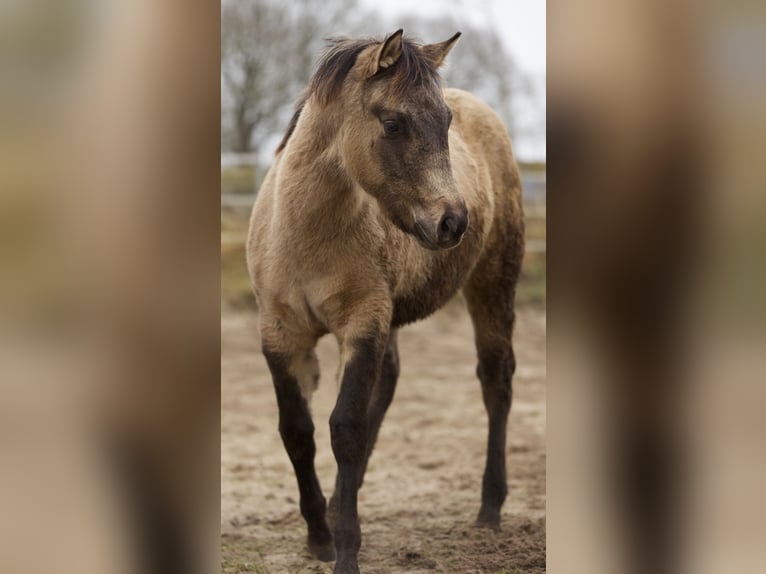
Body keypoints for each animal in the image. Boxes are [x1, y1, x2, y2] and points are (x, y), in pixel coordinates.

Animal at [249, 30, 524, 574]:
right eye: (394, 123)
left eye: (445, 122)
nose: (453, 223)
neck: (303, 235)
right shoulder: (280, 333)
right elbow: (297, 431)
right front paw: (319, 536)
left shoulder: (363, 323)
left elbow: (346, 429)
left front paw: (345, 551)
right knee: (390, 384)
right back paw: (340, 503)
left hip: (492, 287)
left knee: (496, 381)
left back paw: (489, 509)